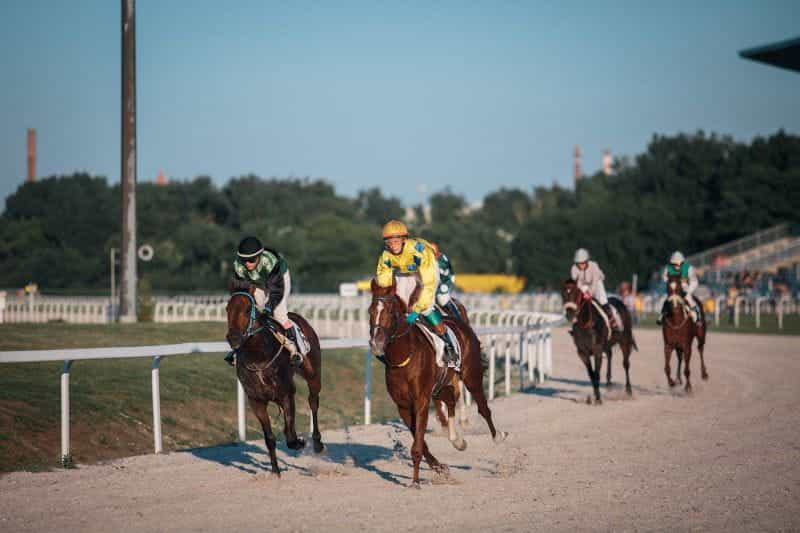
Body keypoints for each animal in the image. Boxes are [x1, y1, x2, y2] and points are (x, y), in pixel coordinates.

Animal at [223, 282, 324, 474]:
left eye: (247, 310)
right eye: (227, 309)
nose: (234, 338)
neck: (258, 355)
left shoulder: (286, 394)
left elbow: (290, 436)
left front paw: (300, 442)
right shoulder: (256, 401)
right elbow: (269, 437)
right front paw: (275, 471)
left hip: (313, 374)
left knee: (313, 402)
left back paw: (317, 443)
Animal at [370, 276, 506, 488]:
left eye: (390, 312)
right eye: (370, 311)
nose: (376, 343)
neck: (404, 356)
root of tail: (459, 323)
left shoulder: (421, 401)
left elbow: (418, 442)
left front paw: (415, 481)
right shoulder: (403, 405)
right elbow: (419, 439)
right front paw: (439, 467)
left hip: (471, 376)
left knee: (483, 407)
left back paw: (497, 436)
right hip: (441, 385)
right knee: (450, 400)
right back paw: (457, 441)